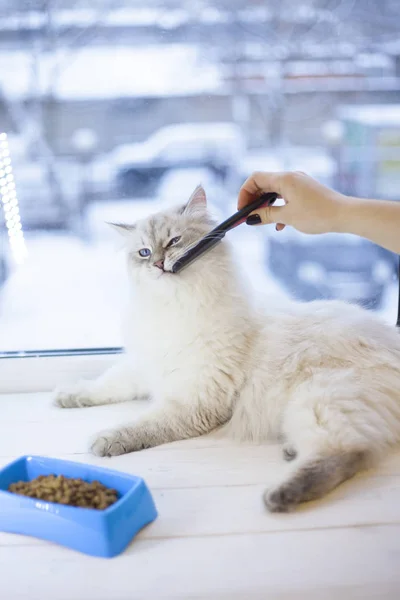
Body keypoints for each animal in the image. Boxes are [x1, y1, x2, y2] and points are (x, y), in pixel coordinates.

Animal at [54, 184, 400, 510]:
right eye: (143, 252)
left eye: (173, 242)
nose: (158, 264)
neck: (175, 306)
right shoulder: (144, 366)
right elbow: (104, 385)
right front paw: (67, 396)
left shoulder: (196, 399)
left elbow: (143, 424)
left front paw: (105, 440)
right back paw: (290, 452)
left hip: (321, 400)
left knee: (348, 452)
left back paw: (279, 496)